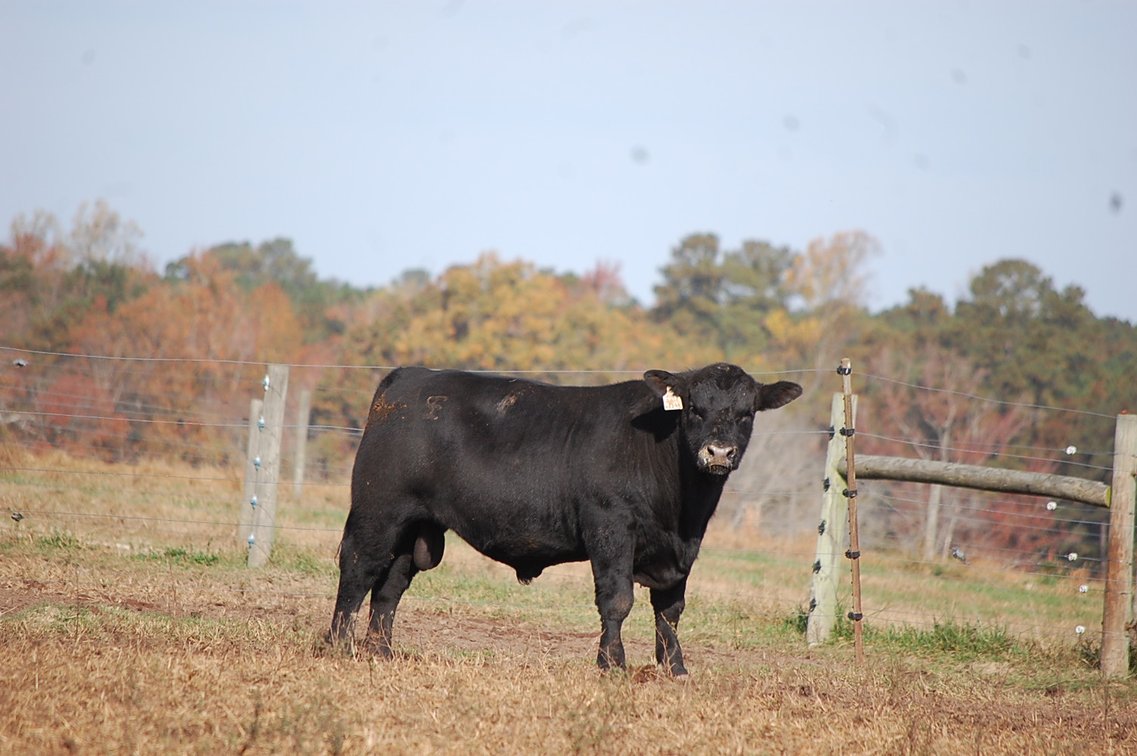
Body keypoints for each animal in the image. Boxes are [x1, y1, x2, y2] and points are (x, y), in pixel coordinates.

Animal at [328, 362, 802, 676]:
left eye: (746, 413)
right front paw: (612, 665)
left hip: (415, 528)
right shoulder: (610, 528)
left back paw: (380, 652)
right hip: (378, 511)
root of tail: (410, 375)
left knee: (389, 587)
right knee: (357, 571)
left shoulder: (684, 547)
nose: (718, 452)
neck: (681, 509)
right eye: (693, 409)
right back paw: (338, 645)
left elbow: (670, 610)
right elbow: (618, 600)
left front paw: (675, 669)